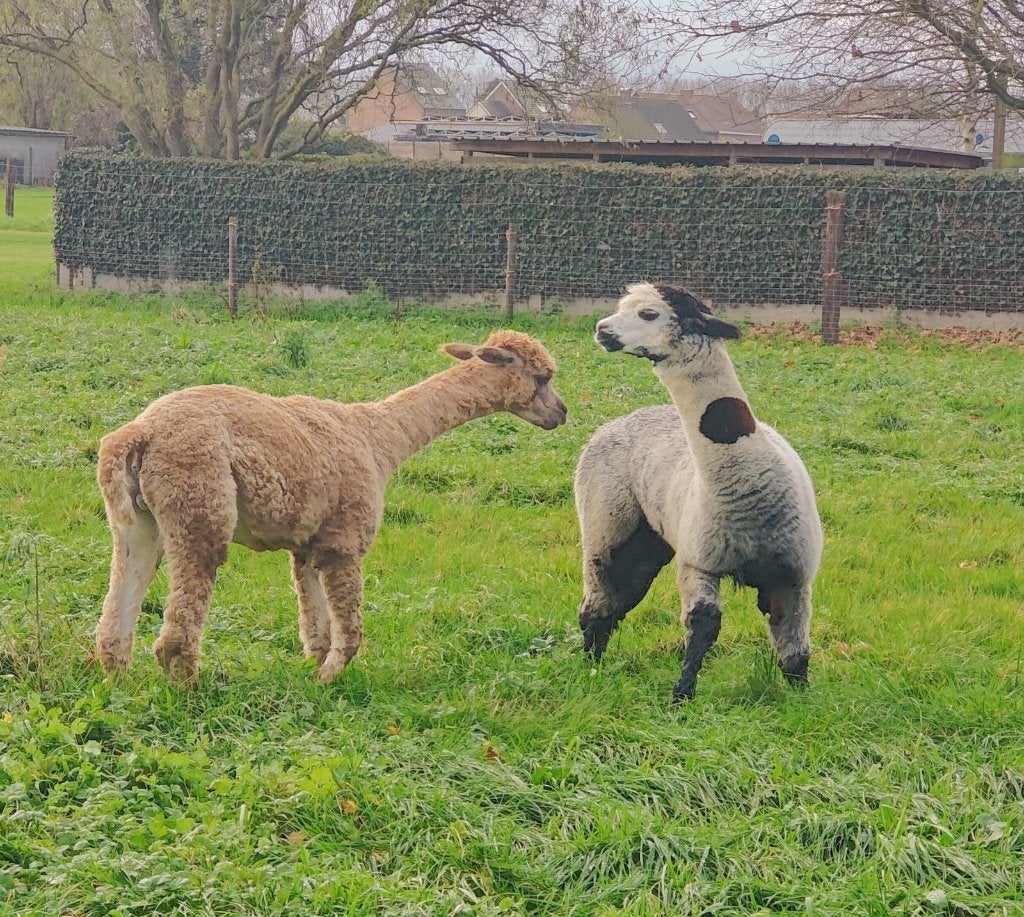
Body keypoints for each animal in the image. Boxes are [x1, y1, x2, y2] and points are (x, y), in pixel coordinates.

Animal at [94, 330, 567, 686]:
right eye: (542, 377)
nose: (561, 413)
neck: (379, 439)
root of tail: (140, 432)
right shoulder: (345, 539)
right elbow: (350, 629)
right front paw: (329, 678)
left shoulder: (309, 543)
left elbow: (316, 628)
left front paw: (313, 673)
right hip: (199, 503)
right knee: (178, 625)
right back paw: (188, 690)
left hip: (139, 521)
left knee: (119, 605)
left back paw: (118, 679)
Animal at [574, 283, 823, 701]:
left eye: (648, 314)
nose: (602, 329)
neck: (747, 496)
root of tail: (612, 424)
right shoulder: (700, 562)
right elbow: (704, 623)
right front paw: (682, 694)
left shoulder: (793, 571)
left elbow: (793, 644)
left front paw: (801, 697)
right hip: (604, 521)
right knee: (599, 598)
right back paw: (588, 668)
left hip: (647, 540)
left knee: (619, 595)